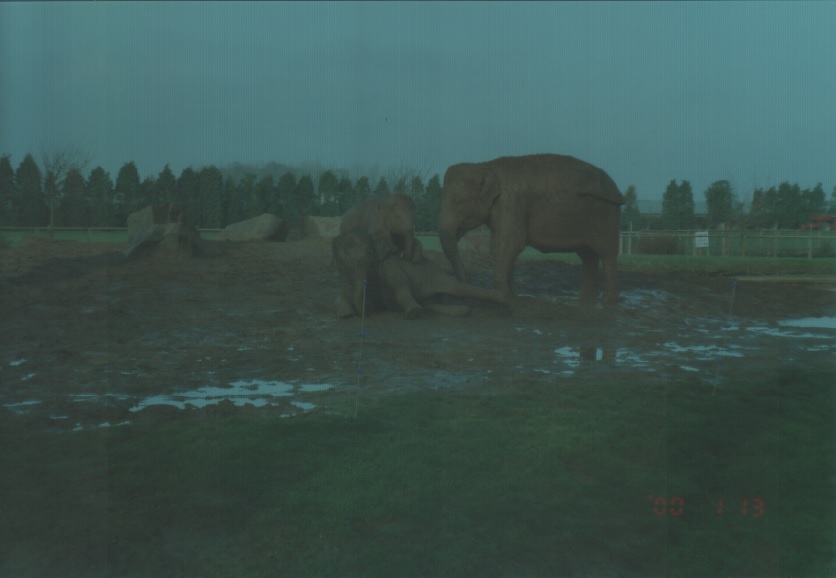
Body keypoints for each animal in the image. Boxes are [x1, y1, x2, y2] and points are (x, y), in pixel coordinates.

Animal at [332, 230, 508, 319]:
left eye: (369, 253)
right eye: (340, 262)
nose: (368, 311)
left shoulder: (390, 265)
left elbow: (402, 285)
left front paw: (413, 313)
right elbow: (343, 294)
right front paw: (346, 314)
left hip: (436, 274)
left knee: (459, 289)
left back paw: (504, 299)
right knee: (432, 304)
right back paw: (463, 311)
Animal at [438, 154, 625, 304]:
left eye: (460, 203)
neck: (485, 165)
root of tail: (617, 190)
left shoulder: (512, 202)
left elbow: (510, 245)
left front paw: (504, 297)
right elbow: (498, 246)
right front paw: (511, 296)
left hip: (608, 214)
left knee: (607, 254)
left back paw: (608, 302)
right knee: (588, 256)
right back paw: (587, 300)